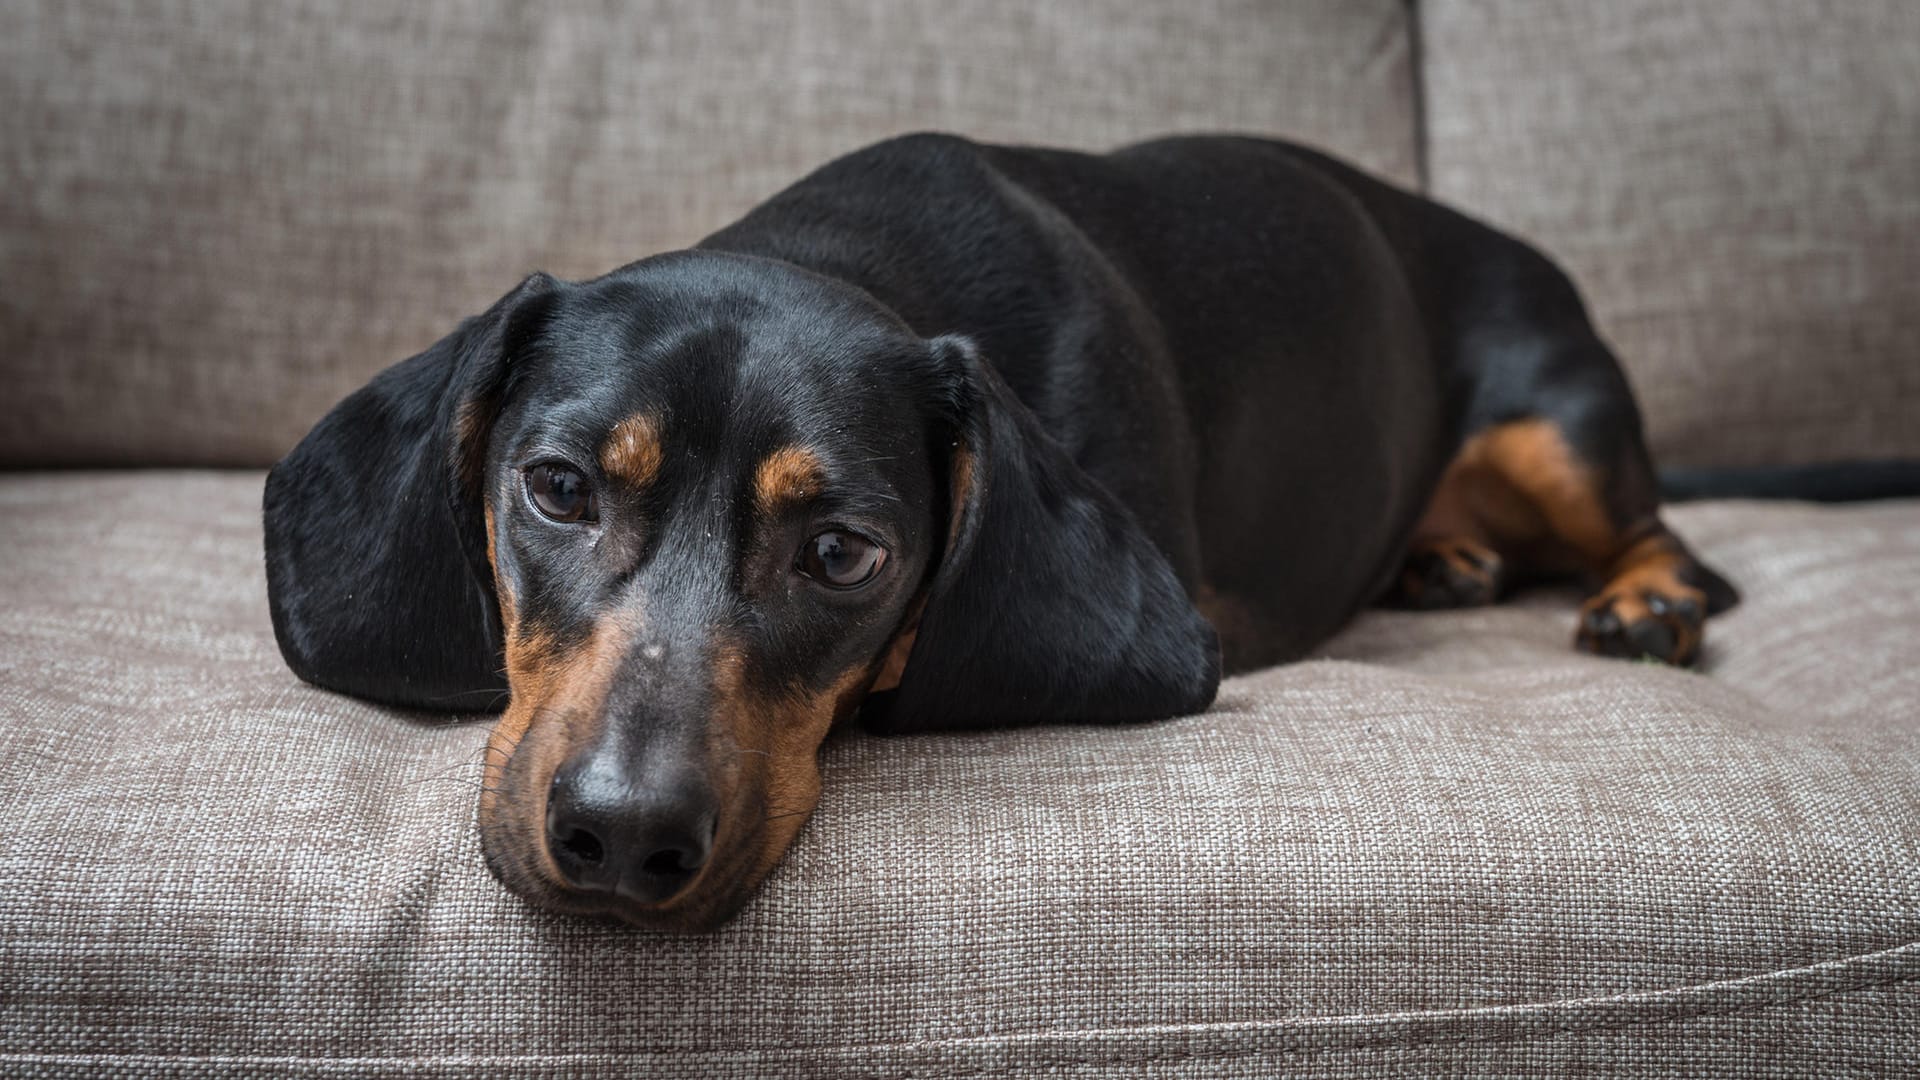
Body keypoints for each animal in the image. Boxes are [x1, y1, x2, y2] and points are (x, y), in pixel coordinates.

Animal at [266, 132, 1743, 926]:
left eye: (842, 554)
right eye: (561, 487)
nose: (624, 841)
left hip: (1560, 422)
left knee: (1670, 537)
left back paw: (1644, 601)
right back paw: (1445, 559)